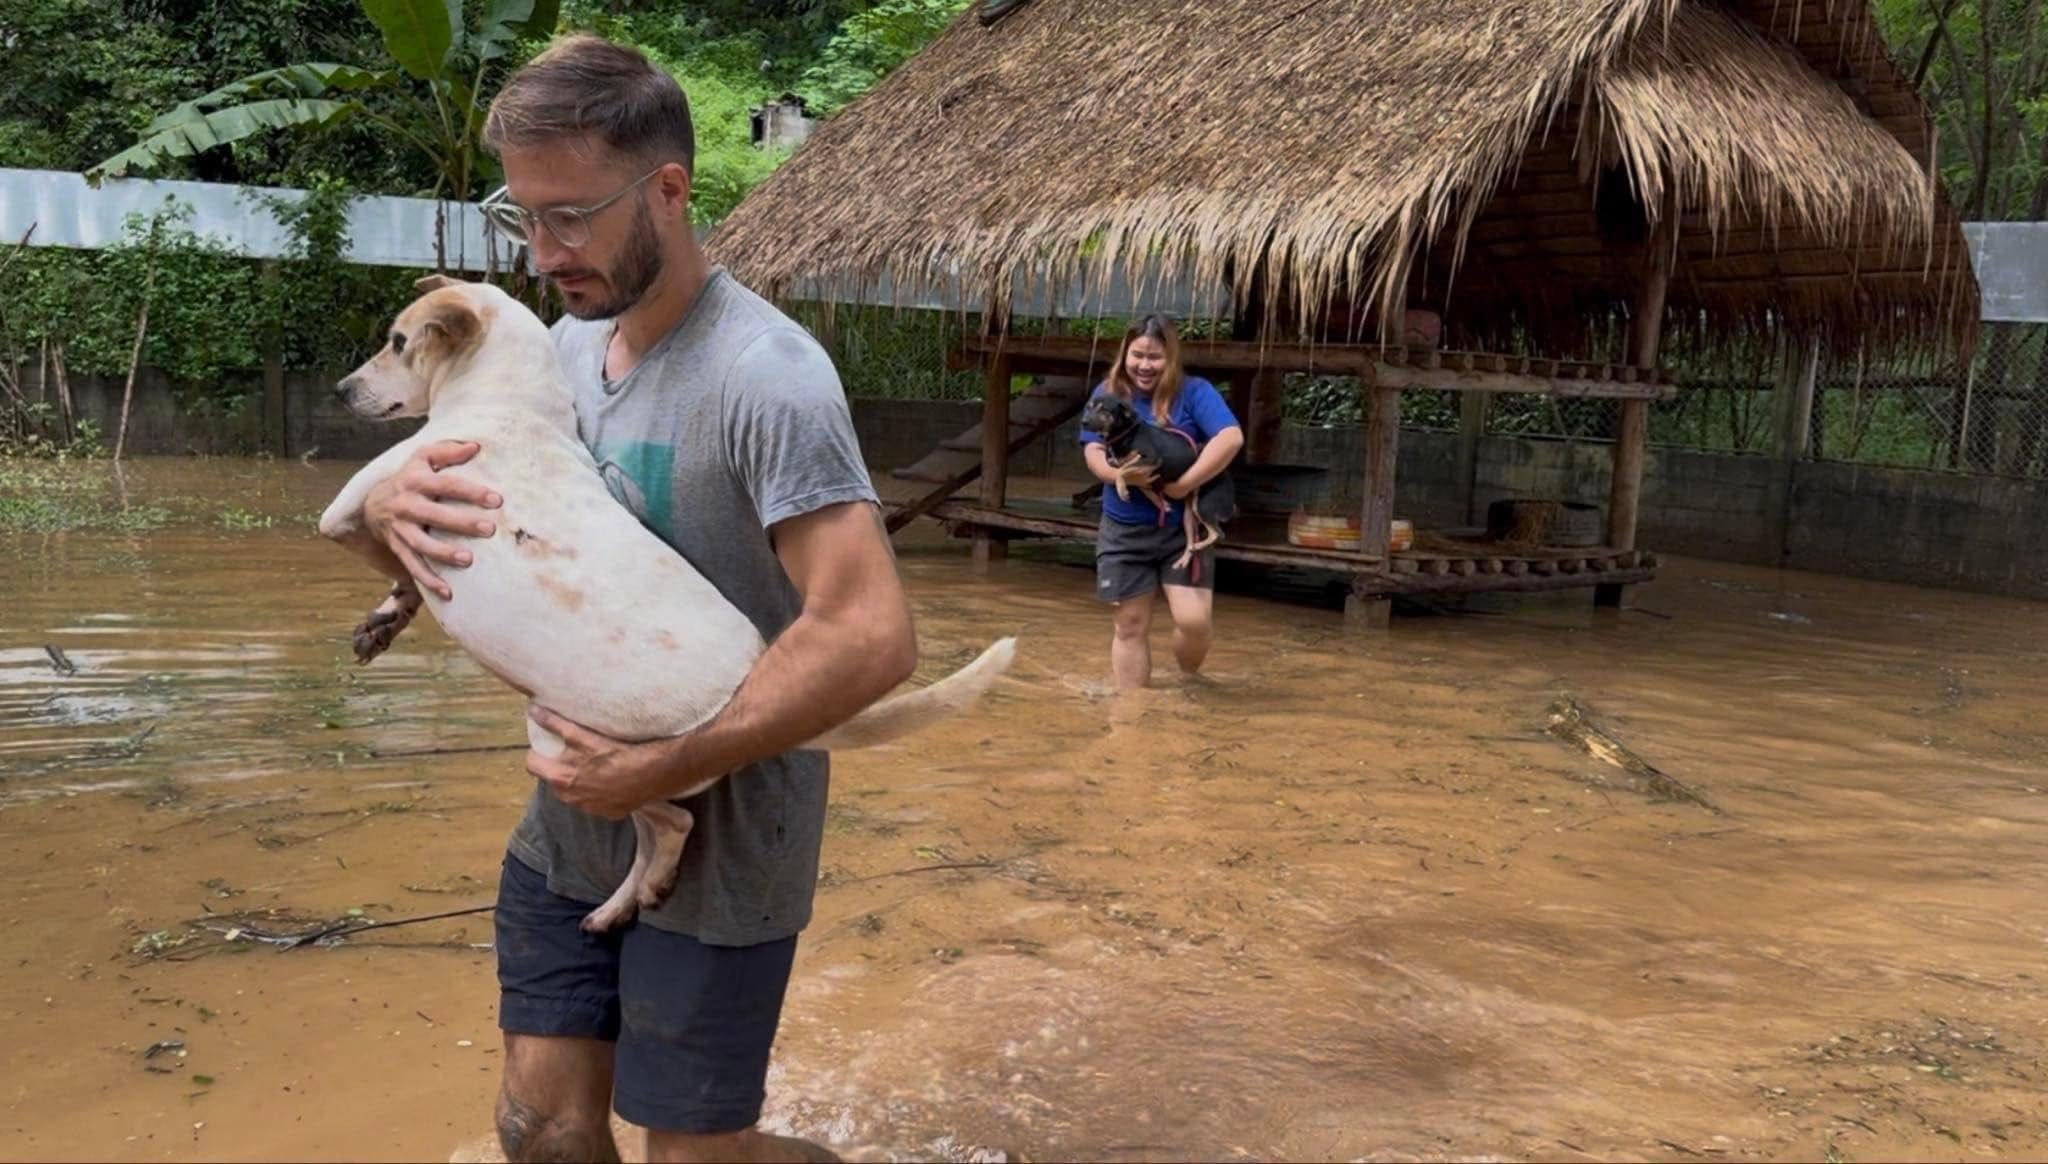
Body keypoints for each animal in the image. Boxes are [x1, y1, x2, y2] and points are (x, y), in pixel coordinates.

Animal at [317, 270, 1015, 926]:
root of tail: (747, 681)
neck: (511, 399)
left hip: (569, 750)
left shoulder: (352, 508)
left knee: (671, 826)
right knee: (655, 834)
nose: (340, 391)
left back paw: (634, 893)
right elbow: (407, 575)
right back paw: (621, 904)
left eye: (398, 342)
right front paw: (386, 619)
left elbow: (382, 543)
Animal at [1081, 393, 1236, 565]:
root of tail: (1228, 478)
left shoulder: (1152, 459)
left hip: (1203, 505)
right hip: (1189, 515)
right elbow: (1140, 485)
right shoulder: (1142, 472)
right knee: (1194, 538)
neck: (1124, 433)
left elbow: (1123, 471)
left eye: (1104, 409)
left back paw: (1198, 545)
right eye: (1088, 407)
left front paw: (1122, 491)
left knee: (1218, 534)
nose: (1083, 422)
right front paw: (1161, 503)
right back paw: (1186, 556)